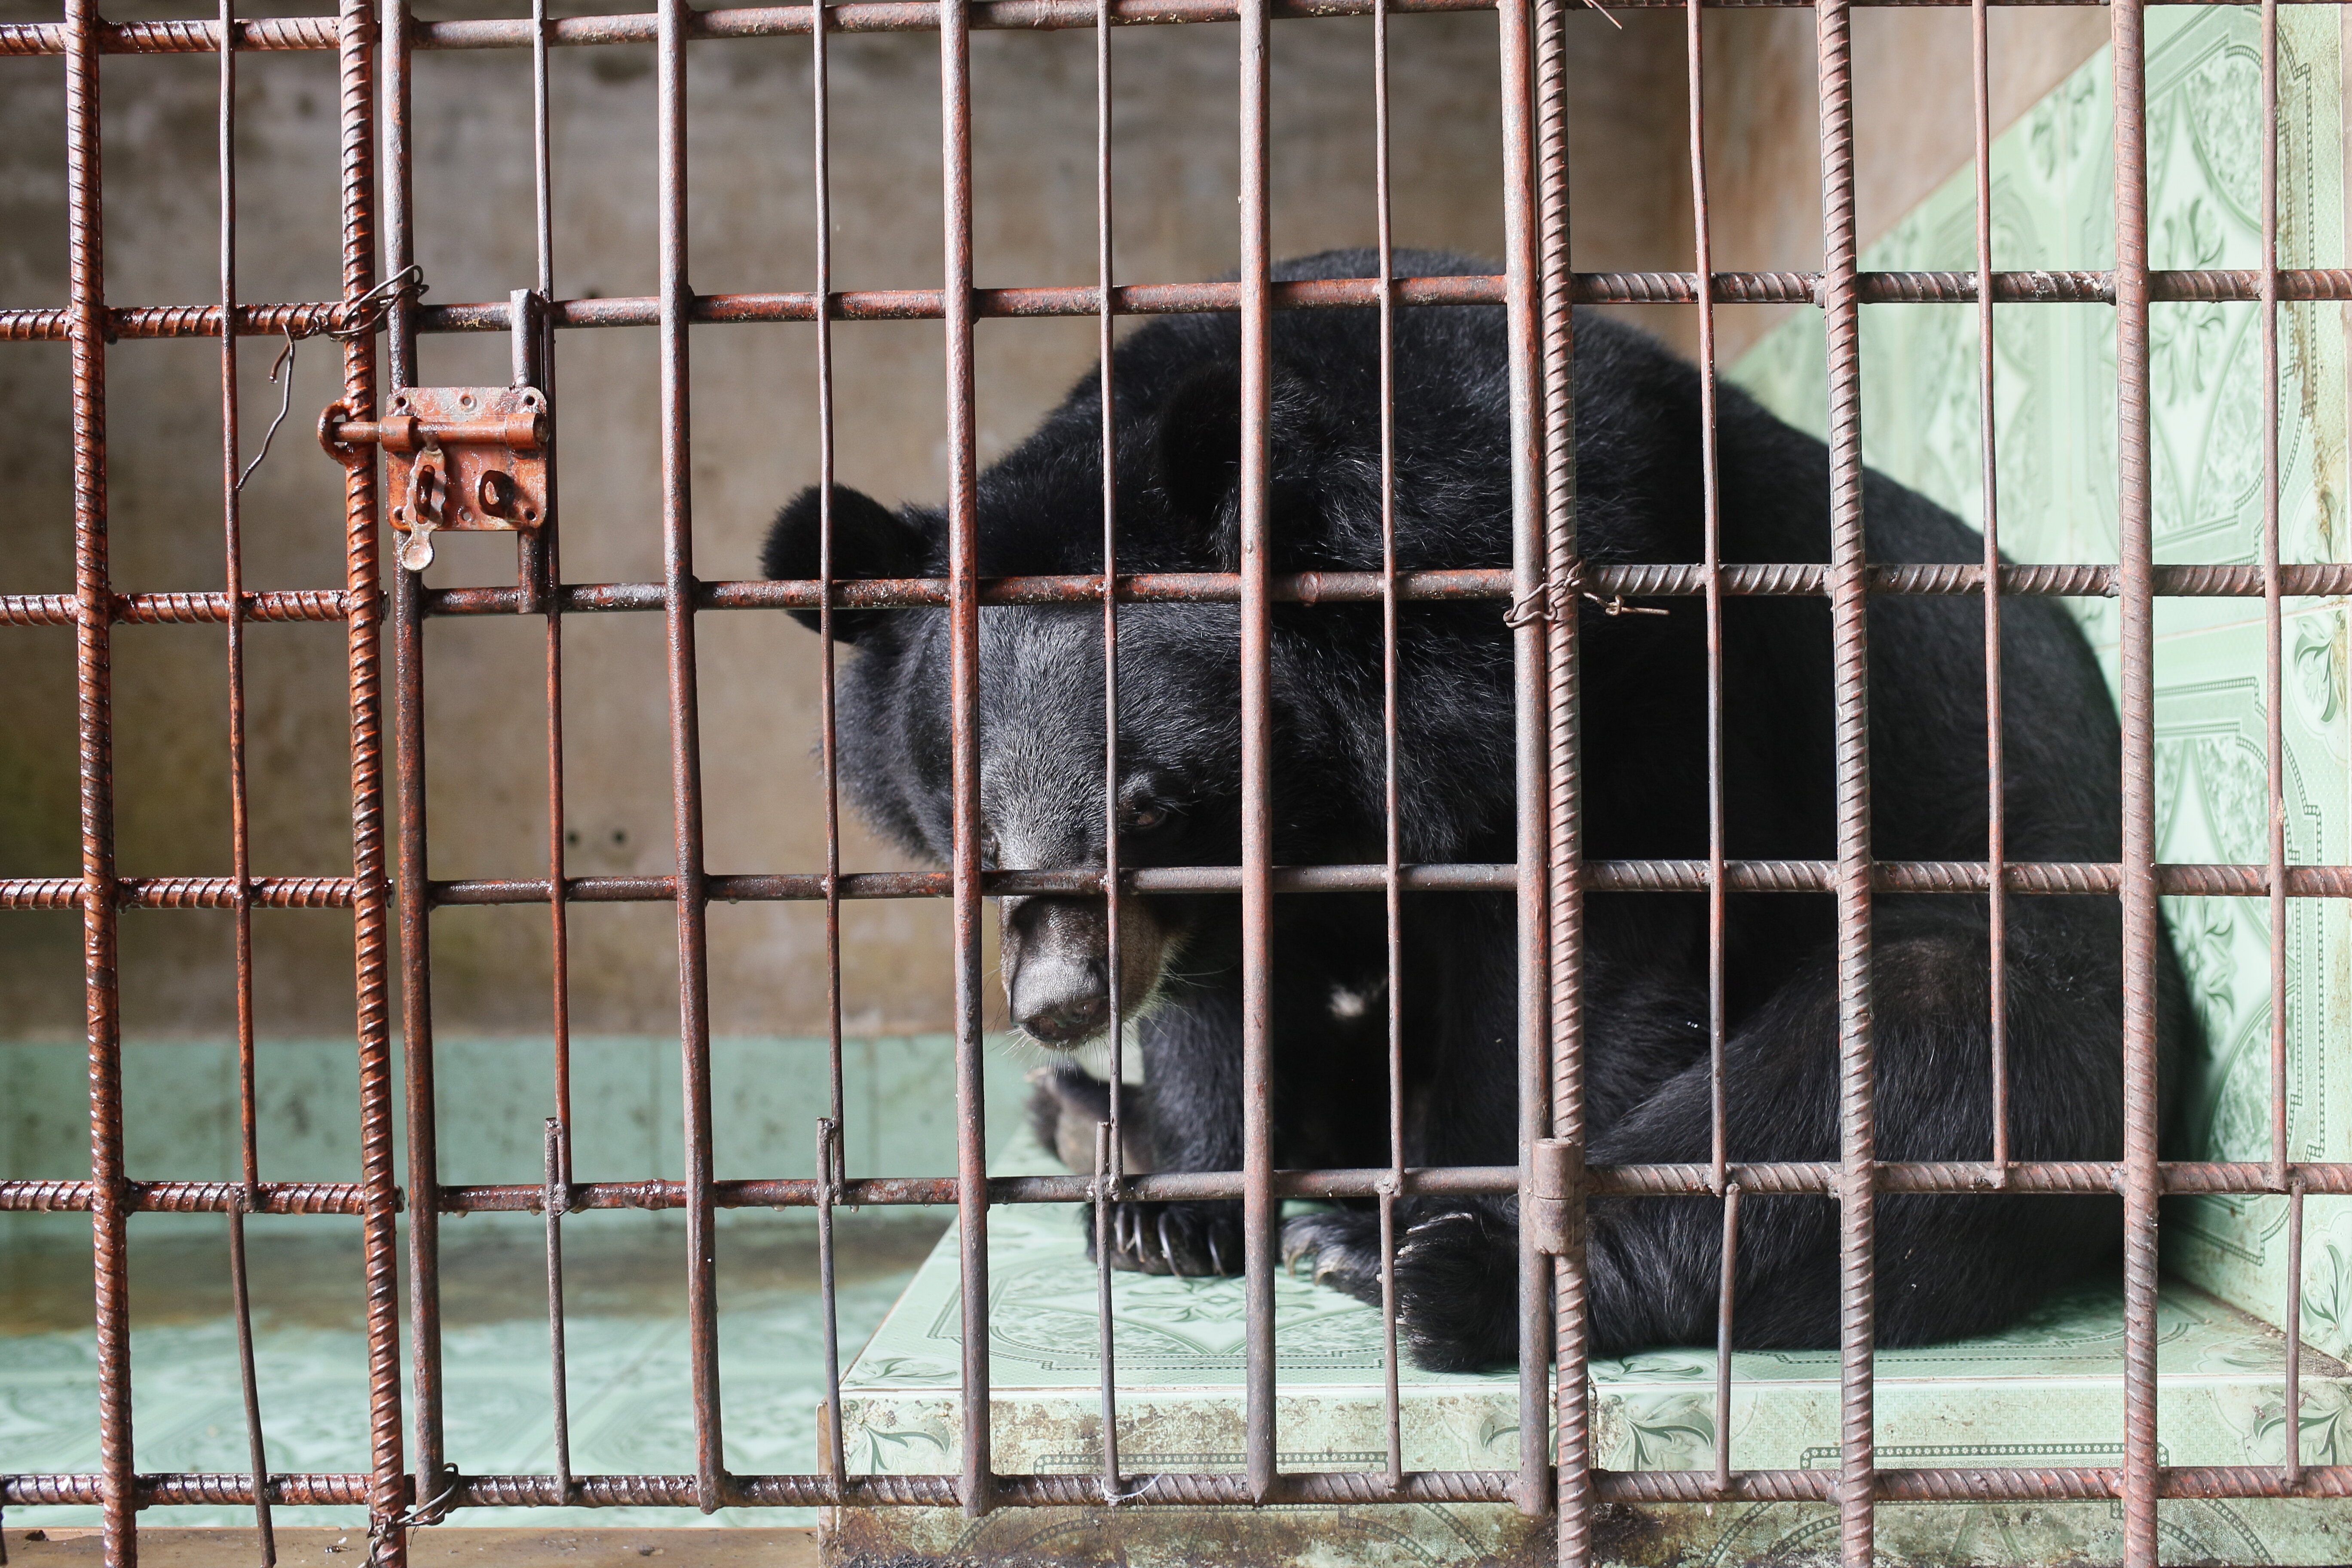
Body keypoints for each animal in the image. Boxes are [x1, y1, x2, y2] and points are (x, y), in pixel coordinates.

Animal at [763, 247, 2187, 1371]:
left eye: (1153, 804)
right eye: (980, 839)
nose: (1060, 1000)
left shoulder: (1618, 670)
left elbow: (1586, 974)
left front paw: (1384, 1218)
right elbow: (1225, 1004)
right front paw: (1177, 1210)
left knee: (1884, 1072)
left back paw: (1432, 1273)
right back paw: (1088, 1121)